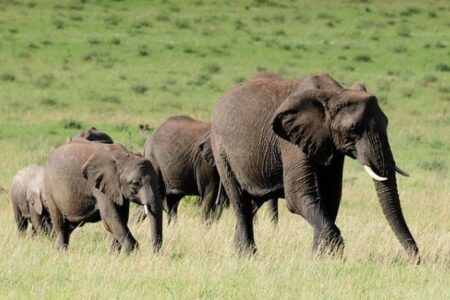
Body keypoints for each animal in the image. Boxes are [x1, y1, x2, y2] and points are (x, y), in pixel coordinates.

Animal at [209, 72, 420, 262]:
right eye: (353, 129)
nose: (416, 261)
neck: (334, 94)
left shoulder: (329, 144)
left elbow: (330, 196)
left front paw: (319, 258)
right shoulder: (289, 140)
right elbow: (299, 197)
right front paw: (333, 256)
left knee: (252, 205)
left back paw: (237, 254)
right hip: (220, 150)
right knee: (241, 203)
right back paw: (247, 257)